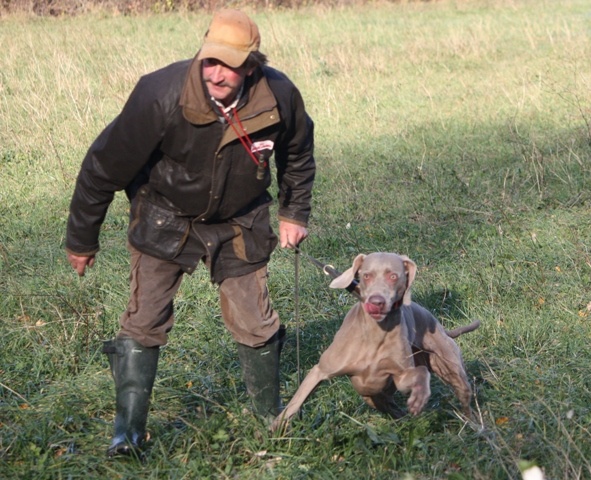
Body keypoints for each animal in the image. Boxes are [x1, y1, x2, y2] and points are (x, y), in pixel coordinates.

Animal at [272, 252, 479, 431]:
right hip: (372, 397)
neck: (375, 333)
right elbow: (295, 402)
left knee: (463, 396)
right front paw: (275, 430)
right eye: (366, 276)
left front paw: (419, 397)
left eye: (393, 276)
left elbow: (420, 373)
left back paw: (473, 427)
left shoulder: (401, 376)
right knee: (393, 408)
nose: (376, 302)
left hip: (450, 368)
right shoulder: (320, 371)